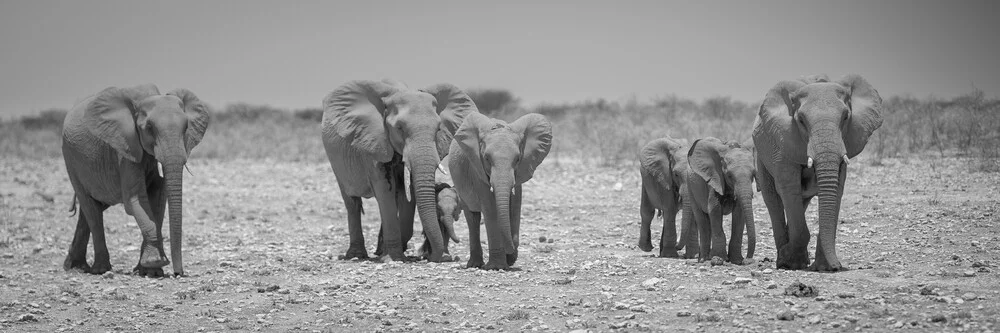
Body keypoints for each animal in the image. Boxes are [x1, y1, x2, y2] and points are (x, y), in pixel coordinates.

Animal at [61, 84, 210, 276]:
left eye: (186, 127)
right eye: (149, 127)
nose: (179, 273)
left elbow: (158, 193)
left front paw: (150, 271)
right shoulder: (125, 147)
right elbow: (136, 200)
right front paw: (155, 263)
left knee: (89, 210)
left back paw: (76, 266)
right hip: (70, 159)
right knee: (90, 208)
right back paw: (99, 269)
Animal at [320, 79, 476, 260]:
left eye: (438, 129)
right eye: (400, 128)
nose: (432, 257)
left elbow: (405, 193)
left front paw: (395, 252)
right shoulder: (374, 140)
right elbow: (384, 189)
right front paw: (393, 258)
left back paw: (380, 250)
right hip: (335, 159)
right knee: (352, 201)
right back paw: (357, 255)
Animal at [452, 113, 556, 268]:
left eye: (518, 159)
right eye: (487, 158)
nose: (510, 250)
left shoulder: (520, 172)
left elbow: (515, 206)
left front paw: (510, 258)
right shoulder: (477, 170)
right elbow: (490, 209)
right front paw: (497, 267)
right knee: (472, 217)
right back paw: (475, 264)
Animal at [688, 136, 756, 264]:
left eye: (754, 175)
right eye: (729, 175)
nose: (748, 260)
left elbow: (739, 213)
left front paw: (737, 260)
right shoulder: (714, 178)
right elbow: (714, 209)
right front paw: (719, 259)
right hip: (690, 187)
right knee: (702, 219)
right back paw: (703, 259)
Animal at [752, 74, 884, 272]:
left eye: (846, 117)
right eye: (801, 120)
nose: (837, 267)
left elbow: (836, 189)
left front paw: (824, 267)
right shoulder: (784, 139)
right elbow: (788, 188)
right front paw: (789, 262)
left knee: (802, 201)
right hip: (761, 154)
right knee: (773, 200)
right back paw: (784, 259)